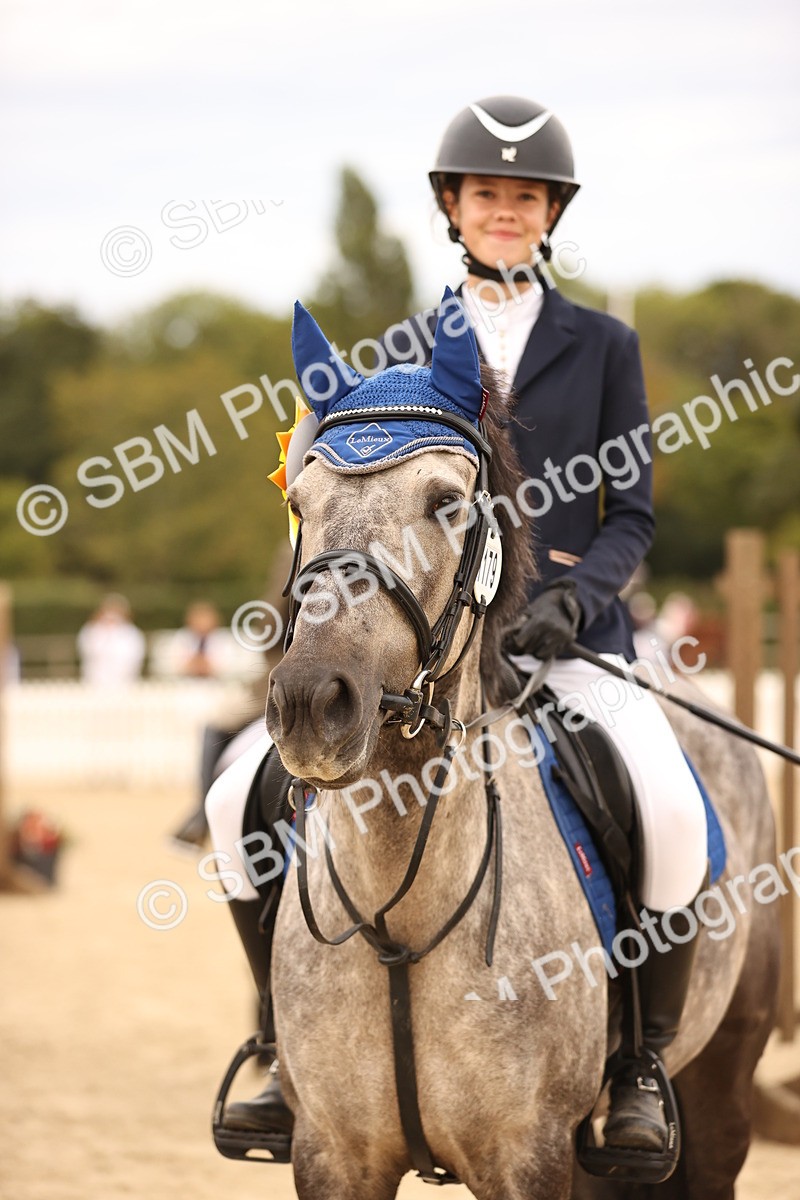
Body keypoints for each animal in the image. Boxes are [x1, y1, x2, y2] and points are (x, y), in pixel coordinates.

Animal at [265, 295, 780, 1200]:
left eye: (445, 502)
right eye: (299, 501)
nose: (309, 703)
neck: (400, 918)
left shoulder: (530, 1153)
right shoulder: (330, 1153)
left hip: (724, 1070)